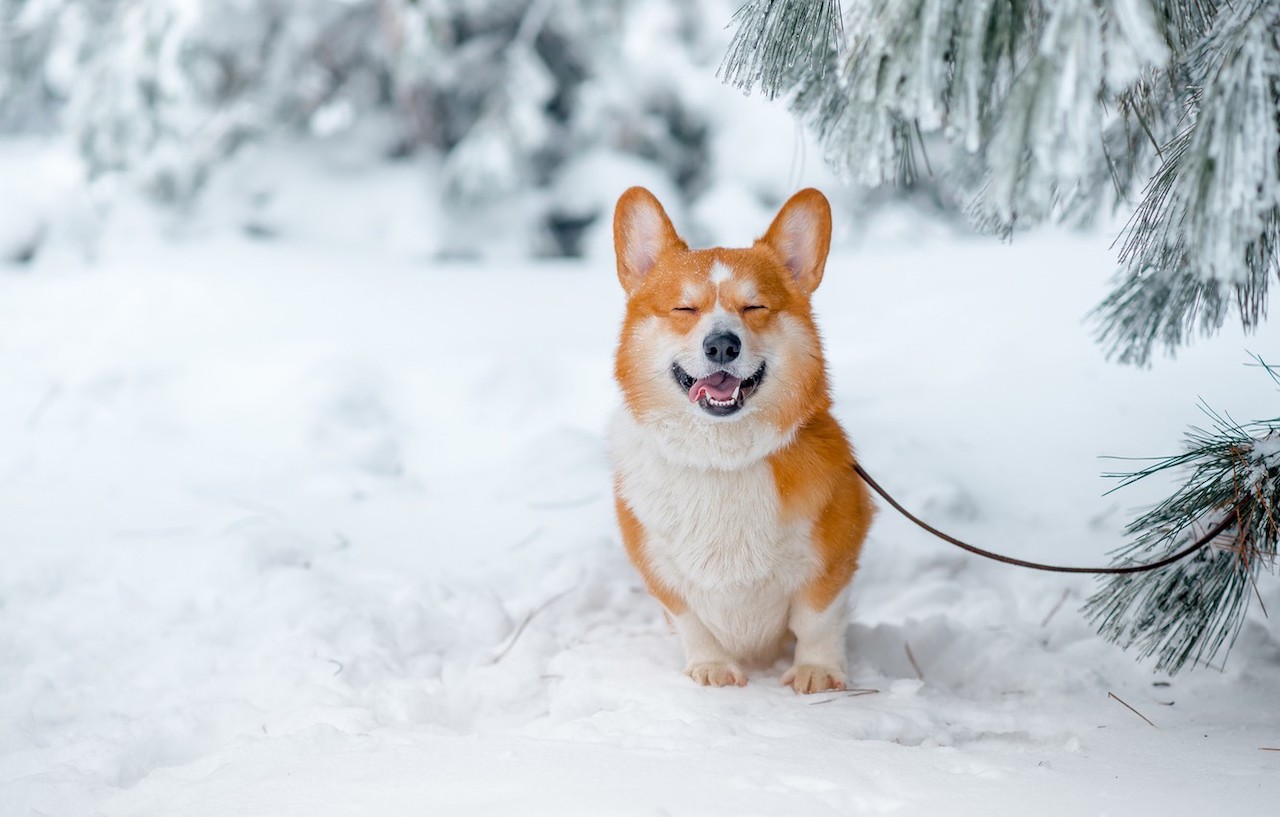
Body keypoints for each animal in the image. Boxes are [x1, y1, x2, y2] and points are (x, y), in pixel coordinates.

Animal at [606, 189, 870, 696]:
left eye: (755, 308)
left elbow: (817, 621)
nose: (722, 345)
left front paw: (816, 671)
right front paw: (712, 668)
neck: (721, 460)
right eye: (684, 309)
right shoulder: (660, 570)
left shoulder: (833, 556)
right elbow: (691, 622)